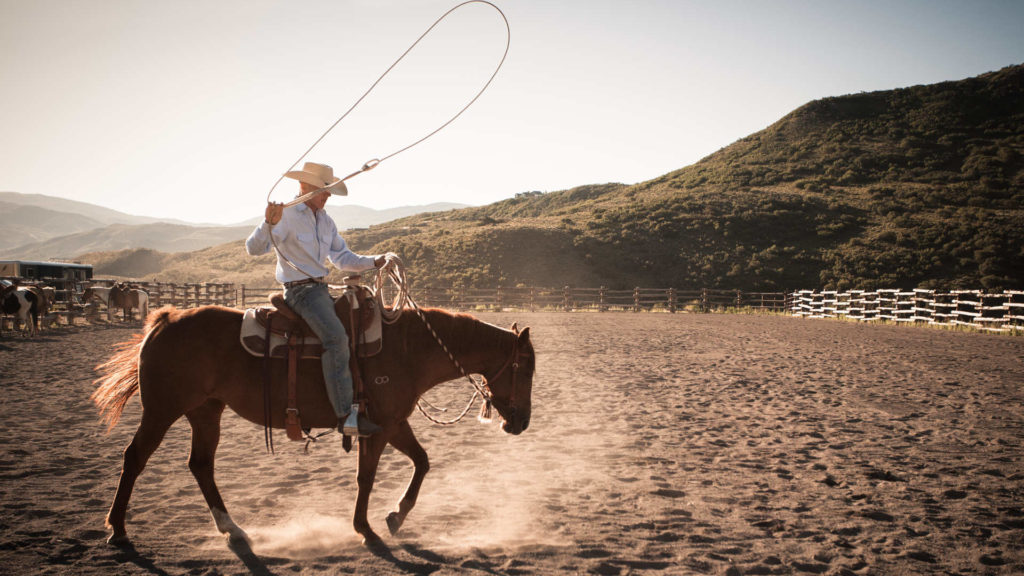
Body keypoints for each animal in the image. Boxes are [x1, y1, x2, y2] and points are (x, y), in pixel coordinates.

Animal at [91, 303, 536, 545]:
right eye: (525, 368)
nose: (521, 423)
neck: (410, 349)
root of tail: (164, 321)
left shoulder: (393, 423)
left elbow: (422, 462)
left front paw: (395, 516)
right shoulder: (380, 426)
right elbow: (367, 477)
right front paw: (364, 527)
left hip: (206, 411)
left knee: (200, 465)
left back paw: (232, 528)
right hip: (162, 410)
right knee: (134, 458)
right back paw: (118, 528)